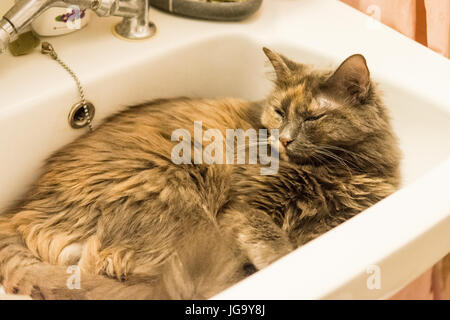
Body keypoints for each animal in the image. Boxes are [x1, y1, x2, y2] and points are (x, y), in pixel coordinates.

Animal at [0, 47, 400, 300]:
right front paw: (283, 263)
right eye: (279, 112)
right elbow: (273, 244)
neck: (336, 171)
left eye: (313, 117)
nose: (284, 139)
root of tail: (17, 214)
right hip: (181, 197)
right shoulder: (245, 208)